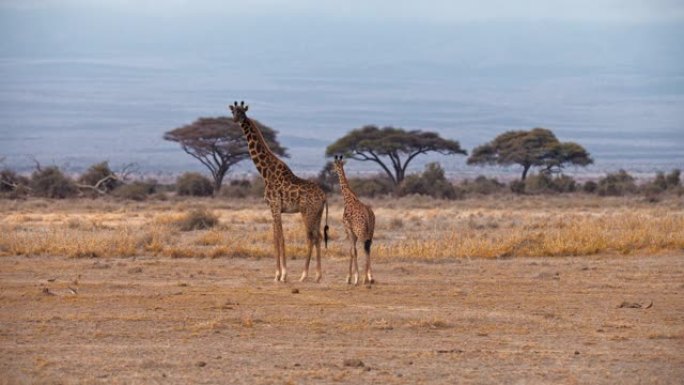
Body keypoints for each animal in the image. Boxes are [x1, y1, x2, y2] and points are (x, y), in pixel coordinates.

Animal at [228, 101, 330, 282]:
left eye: (242, 112)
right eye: (233, 111)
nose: (235, 120)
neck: (265, 172)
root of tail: (324, 196)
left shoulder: (275, 206)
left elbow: (280, 238)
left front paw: (283, 274)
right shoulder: (273, 209)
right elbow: (275, 238)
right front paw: (277, 274)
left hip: (307, 212)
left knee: (312, 237)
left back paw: (304, 275)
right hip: (317, 214)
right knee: (317, 237)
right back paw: (317, 275)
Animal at [330, 154, 374, 284]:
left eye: (333, 164)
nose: (331, 171)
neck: (349, 198)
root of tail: (369, 216)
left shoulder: (348, 229)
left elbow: (353, 251)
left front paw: (353, 278)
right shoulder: (352, 232)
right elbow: (352, 251)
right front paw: (351, 277)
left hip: (362, 232)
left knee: (364, 249)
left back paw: (364, 279)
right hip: (370, 232)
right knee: (368, 249)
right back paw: (370, 278)